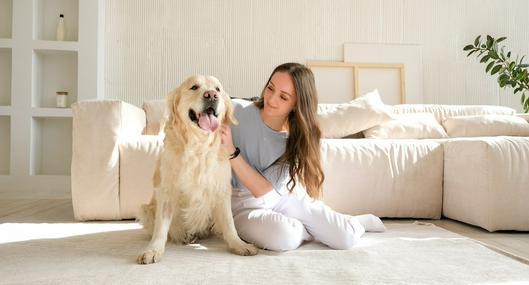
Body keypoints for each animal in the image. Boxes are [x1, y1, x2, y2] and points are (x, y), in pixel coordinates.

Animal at [136, 74, 258, 262]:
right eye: (194, 87)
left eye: (217, 89)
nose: (211, 96)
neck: (199, 145)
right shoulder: (167, 190)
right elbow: (161, 228)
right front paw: (153, 250)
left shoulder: (222, 189)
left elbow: (229, 223)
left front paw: (239, 244)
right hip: (145, 209)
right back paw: (185, 236)